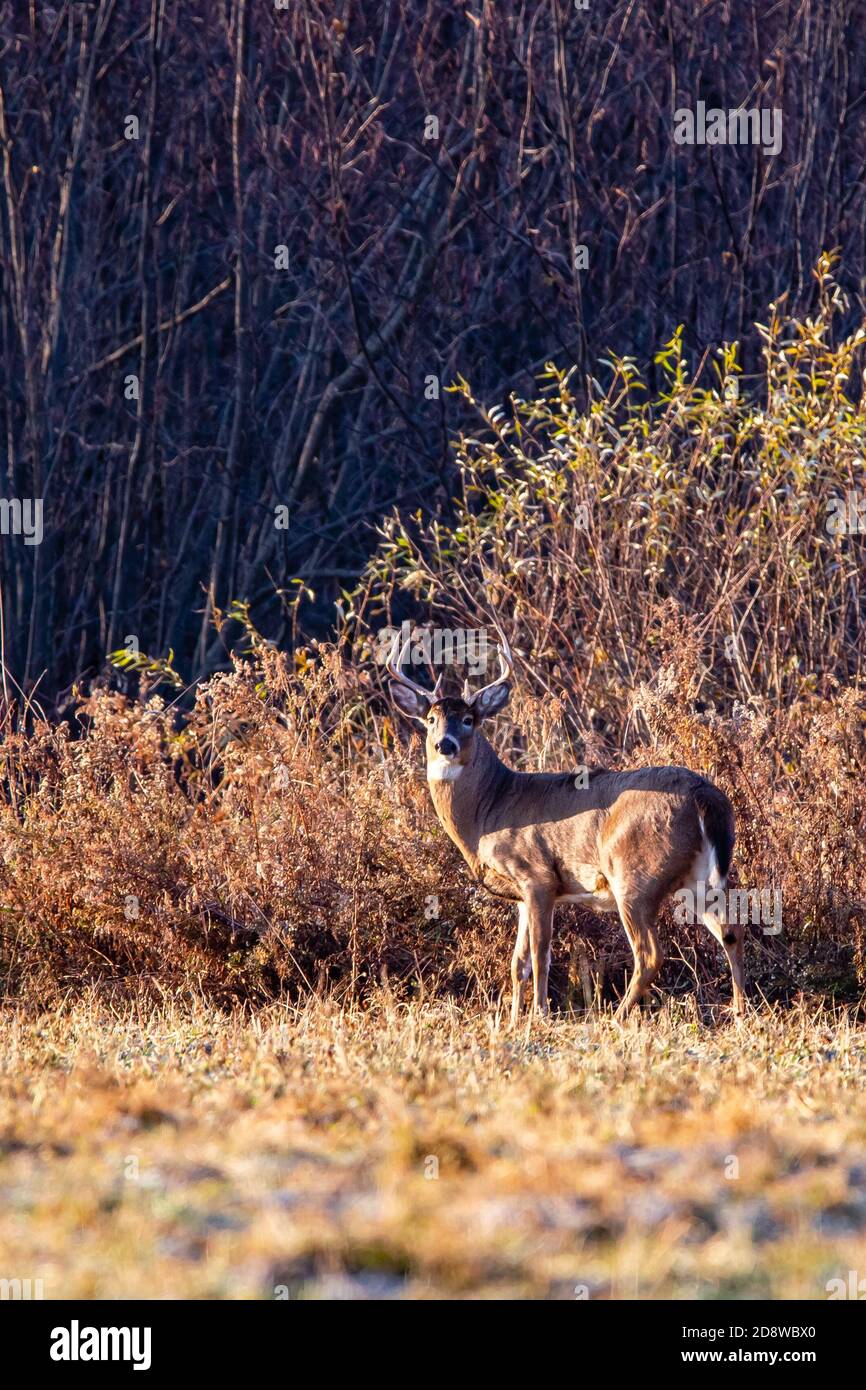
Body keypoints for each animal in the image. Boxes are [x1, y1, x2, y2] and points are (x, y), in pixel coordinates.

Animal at [387, 629, 743, 1024]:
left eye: (468, 719)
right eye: (430, 718)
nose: (444, 745)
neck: (488, 810)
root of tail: (705, 795)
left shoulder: (537, 877)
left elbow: (541, 956)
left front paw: (540, 1014)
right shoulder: (522, 896)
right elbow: (518, 963)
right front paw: (514, 1019)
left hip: (635, 875)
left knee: (649, 953)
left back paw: (616, 1017)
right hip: (699, 877)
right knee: (730, 930)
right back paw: (741, 1012)